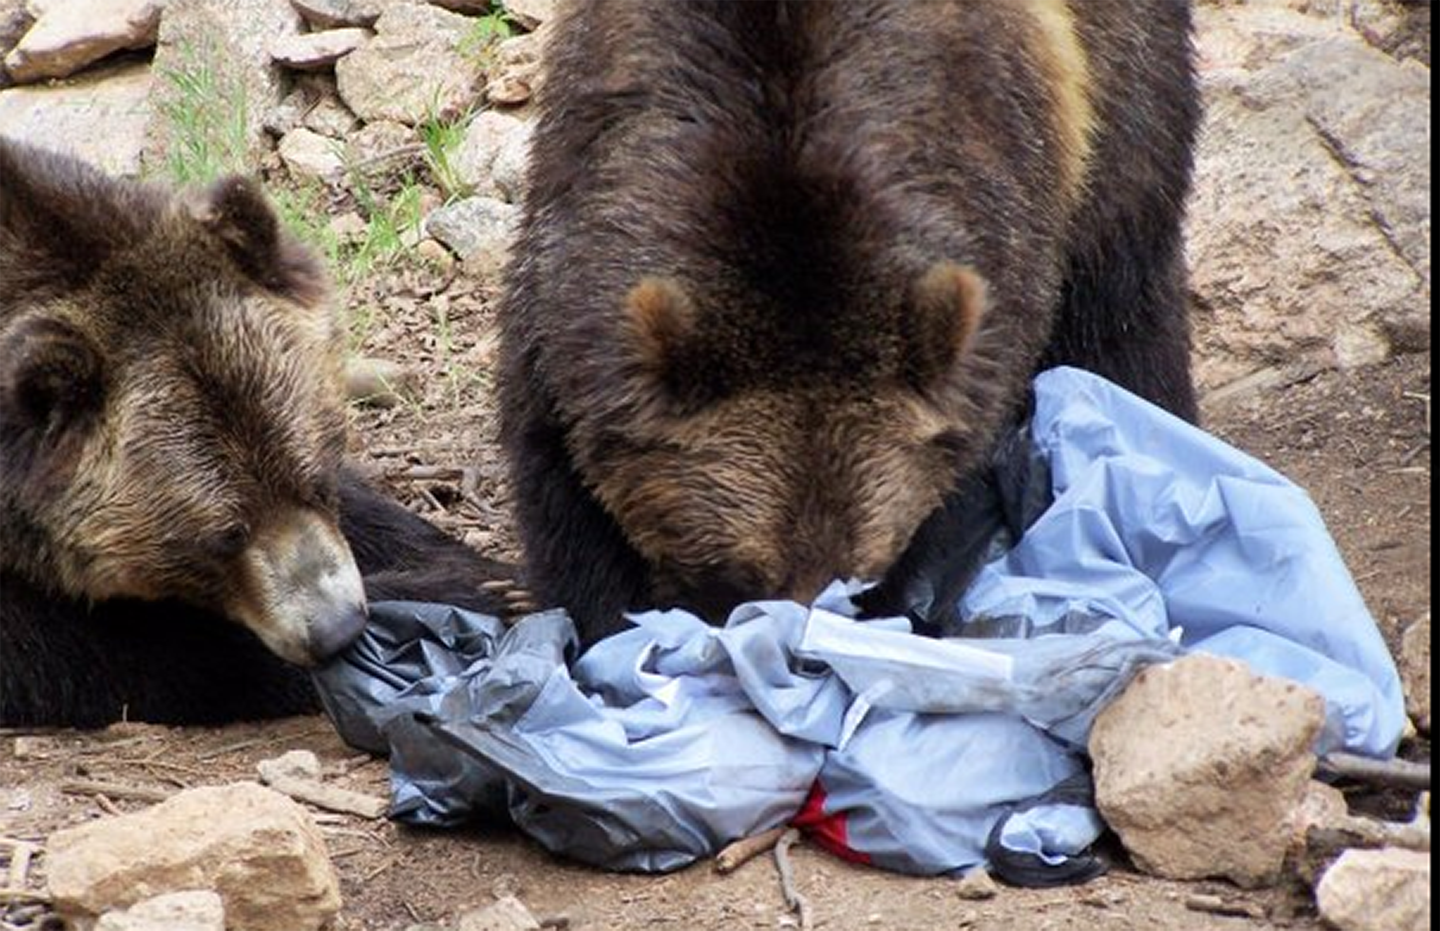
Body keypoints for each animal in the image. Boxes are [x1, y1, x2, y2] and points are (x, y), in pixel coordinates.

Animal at [0, 137, 515, 728]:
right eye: (225, 534)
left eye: (317, 481)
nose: (336, 627)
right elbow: (129, 651)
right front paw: (469, 595)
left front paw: (491, 571)